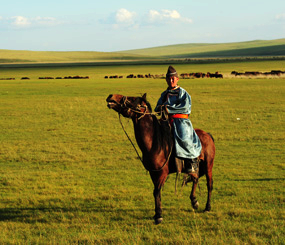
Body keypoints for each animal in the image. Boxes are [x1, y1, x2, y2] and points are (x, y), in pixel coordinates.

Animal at [106, 93, 215, 224]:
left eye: (132, 99)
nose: (111, 96)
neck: (155, 143)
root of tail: (207, 135)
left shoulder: (162, 173)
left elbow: (157, 191)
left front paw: (158, 215)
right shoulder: (154, 173)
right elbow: (156, 192)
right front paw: (157, 213)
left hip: (208, 165)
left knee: (209, 184)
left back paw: (207, 207)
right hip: (195, 167)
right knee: (195, 178)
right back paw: (194, 201)